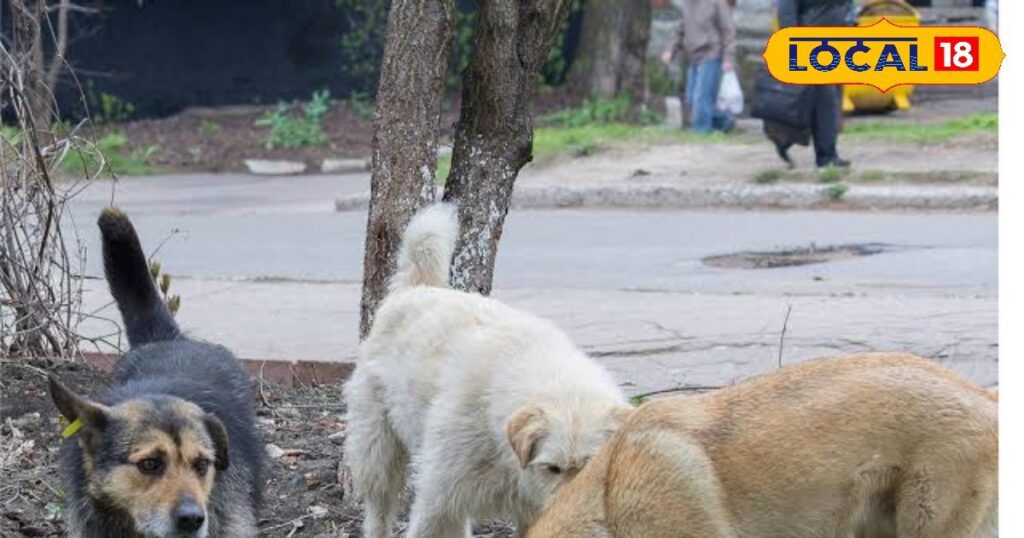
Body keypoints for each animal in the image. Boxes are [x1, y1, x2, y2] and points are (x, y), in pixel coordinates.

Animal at [346, 203, 630, 532]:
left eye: (591, 468)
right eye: (552, 468)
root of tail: (416, 287)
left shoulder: (528, 509)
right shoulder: (440, 497)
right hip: (378, 450)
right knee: (379, 507)